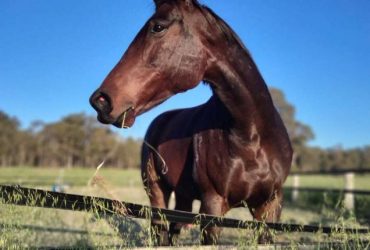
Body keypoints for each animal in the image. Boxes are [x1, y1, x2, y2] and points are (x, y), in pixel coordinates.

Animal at [89, 0, 292, 246]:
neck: (252, 137)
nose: (100, 100)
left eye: (158, 27)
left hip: (183, 196)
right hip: (156, 191)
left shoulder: (270, 207)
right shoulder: (212, 206)